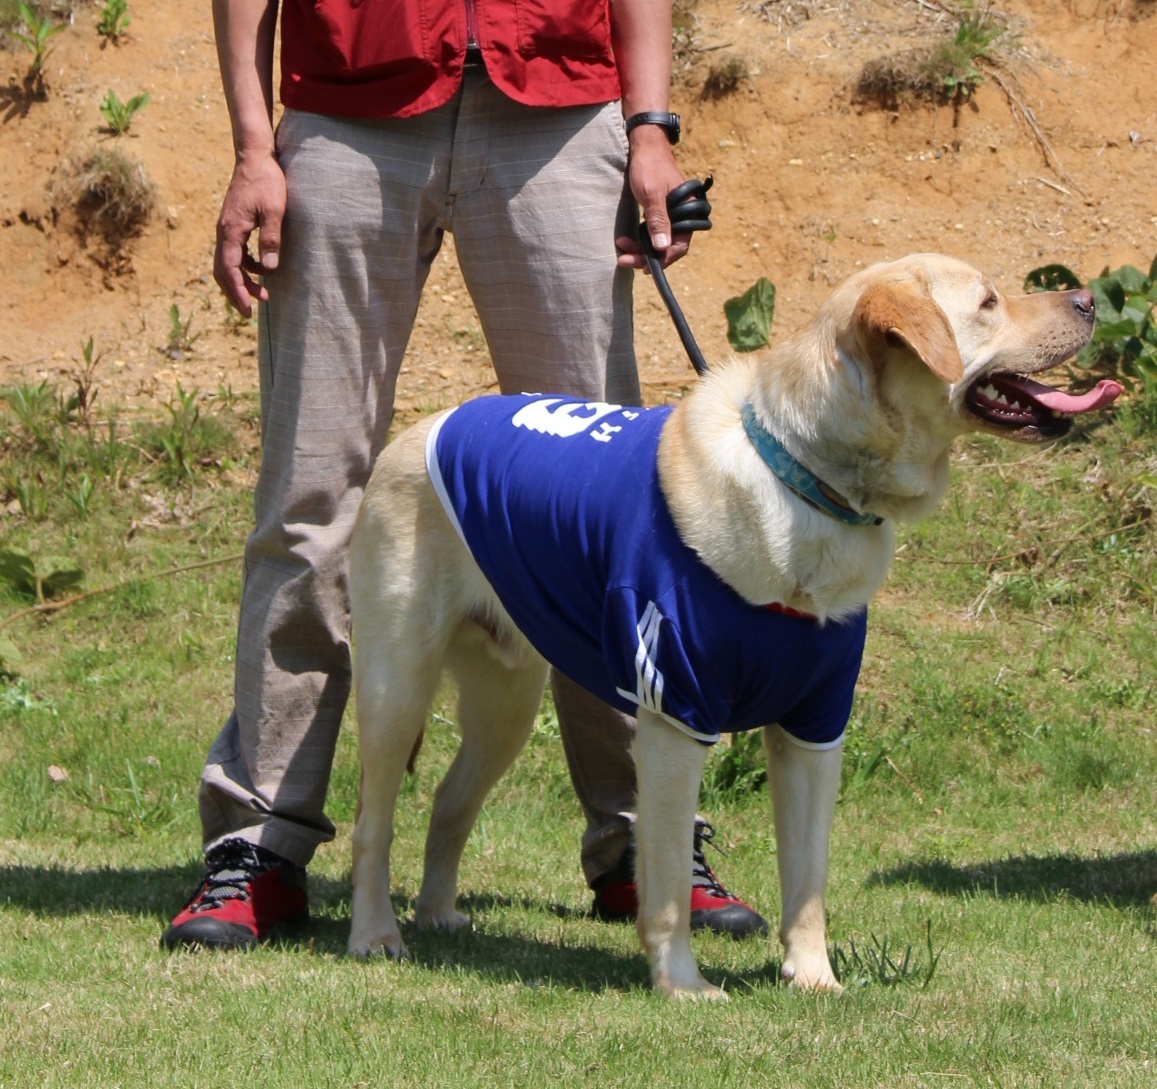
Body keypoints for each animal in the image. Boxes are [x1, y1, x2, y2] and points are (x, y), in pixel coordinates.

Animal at [344, 252, 1119, 995]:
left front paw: (814, 978)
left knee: (448, 800)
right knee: (372, 824)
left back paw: (438, 913)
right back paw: (375, 934)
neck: (808, 480)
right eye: (987, 302)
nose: (1087, 298)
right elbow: (664, 888)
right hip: (395, 687)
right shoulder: (673, 713)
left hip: (506, 702)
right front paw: (682, 984)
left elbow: (807, 881)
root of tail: (418, 429)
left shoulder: (815, 725)